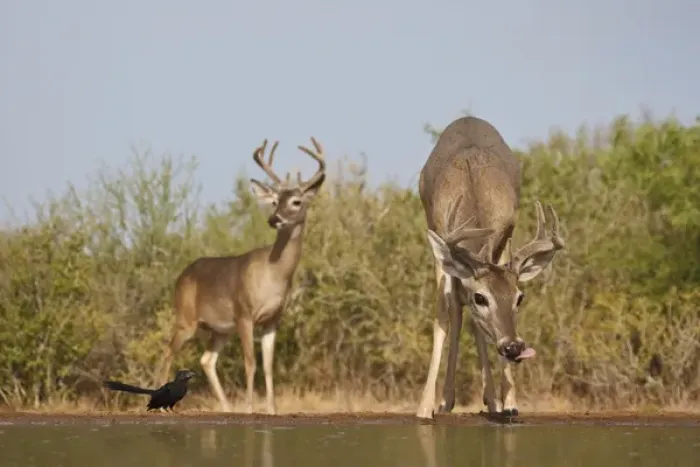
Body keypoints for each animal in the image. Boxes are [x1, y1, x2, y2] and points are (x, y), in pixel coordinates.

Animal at [157, 137, 327, 414]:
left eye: (296, 202)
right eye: (274, 201)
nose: (274, 219)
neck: (274, 275)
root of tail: (181, 276)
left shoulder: (272, 320)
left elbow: (268, 367)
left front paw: (271, 409)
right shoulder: (244, 314)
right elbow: (251, 363)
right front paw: (249, 407)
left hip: (220, 329)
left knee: (206, 359)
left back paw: (226, 407)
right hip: (186, 318)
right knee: (167, 353)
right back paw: (162, 403)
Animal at [415, 116, 565, 419]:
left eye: (520, 298)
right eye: (480, 297)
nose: (514, 346)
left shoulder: (505, 237)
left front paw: (508, 402)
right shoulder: (441, 245)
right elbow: (444, 315)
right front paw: (425, 406)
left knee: (472, 323)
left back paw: (491, 399)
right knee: (457, 313)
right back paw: (447, 400)